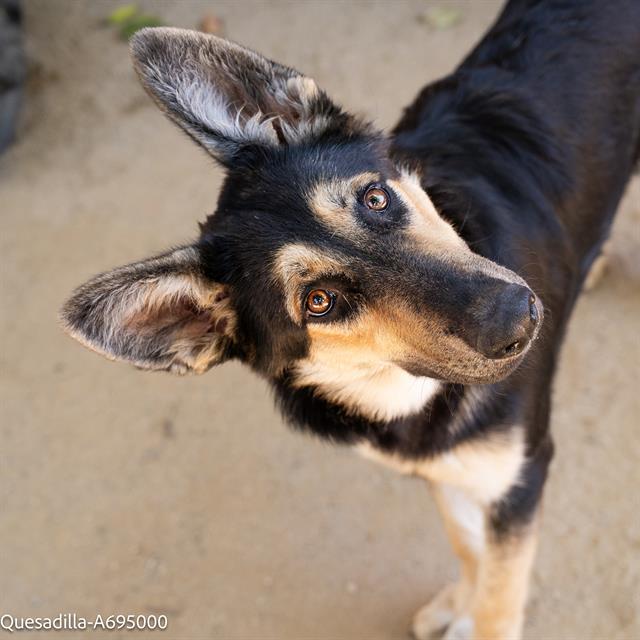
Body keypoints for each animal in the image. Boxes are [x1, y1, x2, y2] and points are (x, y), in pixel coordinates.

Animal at [60, 2, 640, 636]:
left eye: (375, 199)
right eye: (320, 301)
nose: (519, 319)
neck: (398, 392)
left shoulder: (519, 475)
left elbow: (499, 599)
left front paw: (475, 611)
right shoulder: (463, 470)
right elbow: (467, 543)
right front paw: (459, 603)